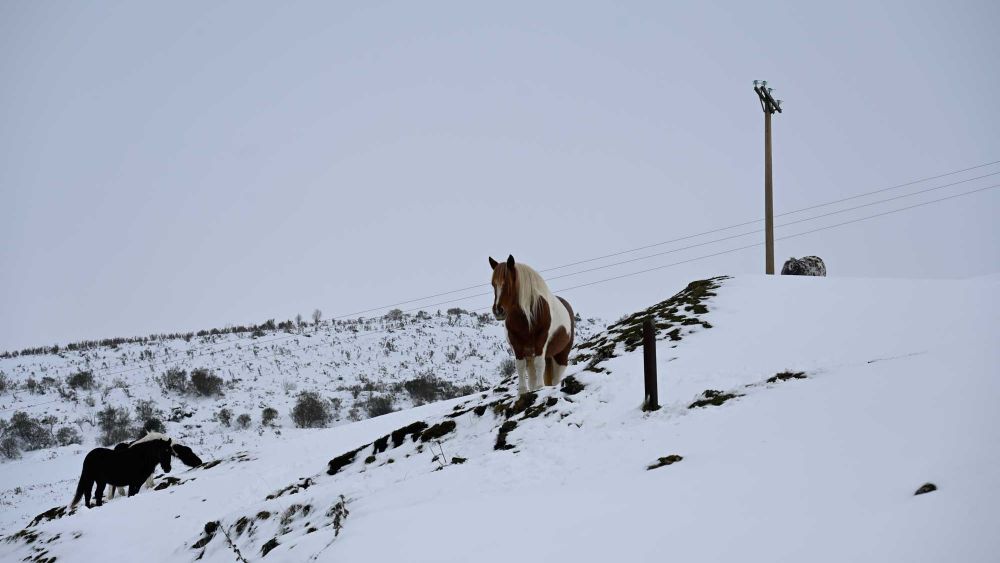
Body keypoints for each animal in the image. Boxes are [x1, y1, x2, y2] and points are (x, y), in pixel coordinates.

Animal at [488, 256, 576, 396]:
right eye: (493, 284)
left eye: (508, 283)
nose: (498, 311)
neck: (526, 318)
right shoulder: (517, 344)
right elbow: (520, 366)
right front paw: (522, 391)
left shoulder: (541, 341)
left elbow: (539, 363)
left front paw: (540, 387)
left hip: (560, 355)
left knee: (556, 378)